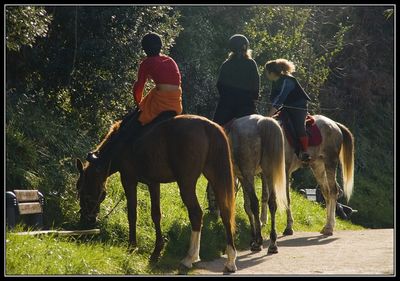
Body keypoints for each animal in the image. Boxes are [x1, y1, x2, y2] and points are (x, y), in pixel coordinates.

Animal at [75, 114, 238, 272]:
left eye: (81, 191)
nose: (86, 221)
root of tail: (208, 126)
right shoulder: (154, 183)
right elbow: (156, 215)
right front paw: (157, 250)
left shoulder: (128, 180)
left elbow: (132, 213)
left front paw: (132, 246)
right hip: (215, 176)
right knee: (225, 213)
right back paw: (230, 260)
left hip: (186, 183)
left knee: (196, 213)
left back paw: (189, 258)